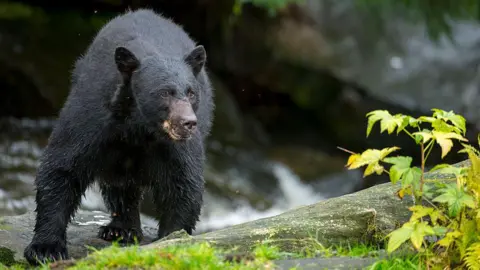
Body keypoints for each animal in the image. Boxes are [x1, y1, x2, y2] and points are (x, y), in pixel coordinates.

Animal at [23, 8, 215, 266]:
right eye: (165, 92)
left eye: (191, 92)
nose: (188, 123)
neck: (139, 128)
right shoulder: (93, 119)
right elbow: (63, 166)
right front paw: (46, 249)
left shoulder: (175, 147)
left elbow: (183, 183)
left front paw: (172, 238)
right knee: (119, 183)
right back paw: (120, 229)